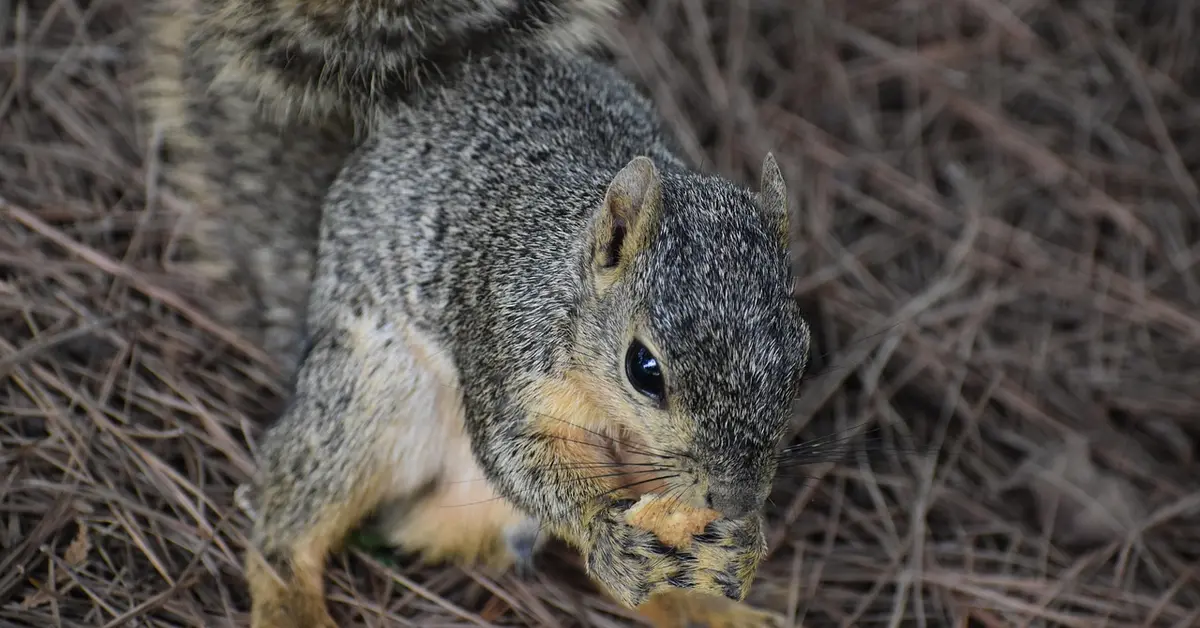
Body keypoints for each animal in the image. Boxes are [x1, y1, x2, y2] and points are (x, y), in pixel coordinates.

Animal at [136, 2, 812, 628]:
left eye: (800, 356)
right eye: (644, 368)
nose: (735, 500)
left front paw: (741, 543)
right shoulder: (504, 347)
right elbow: (516, 456)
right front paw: (605, 528)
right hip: (373, 396)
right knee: (292, 505)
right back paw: (290, 602)